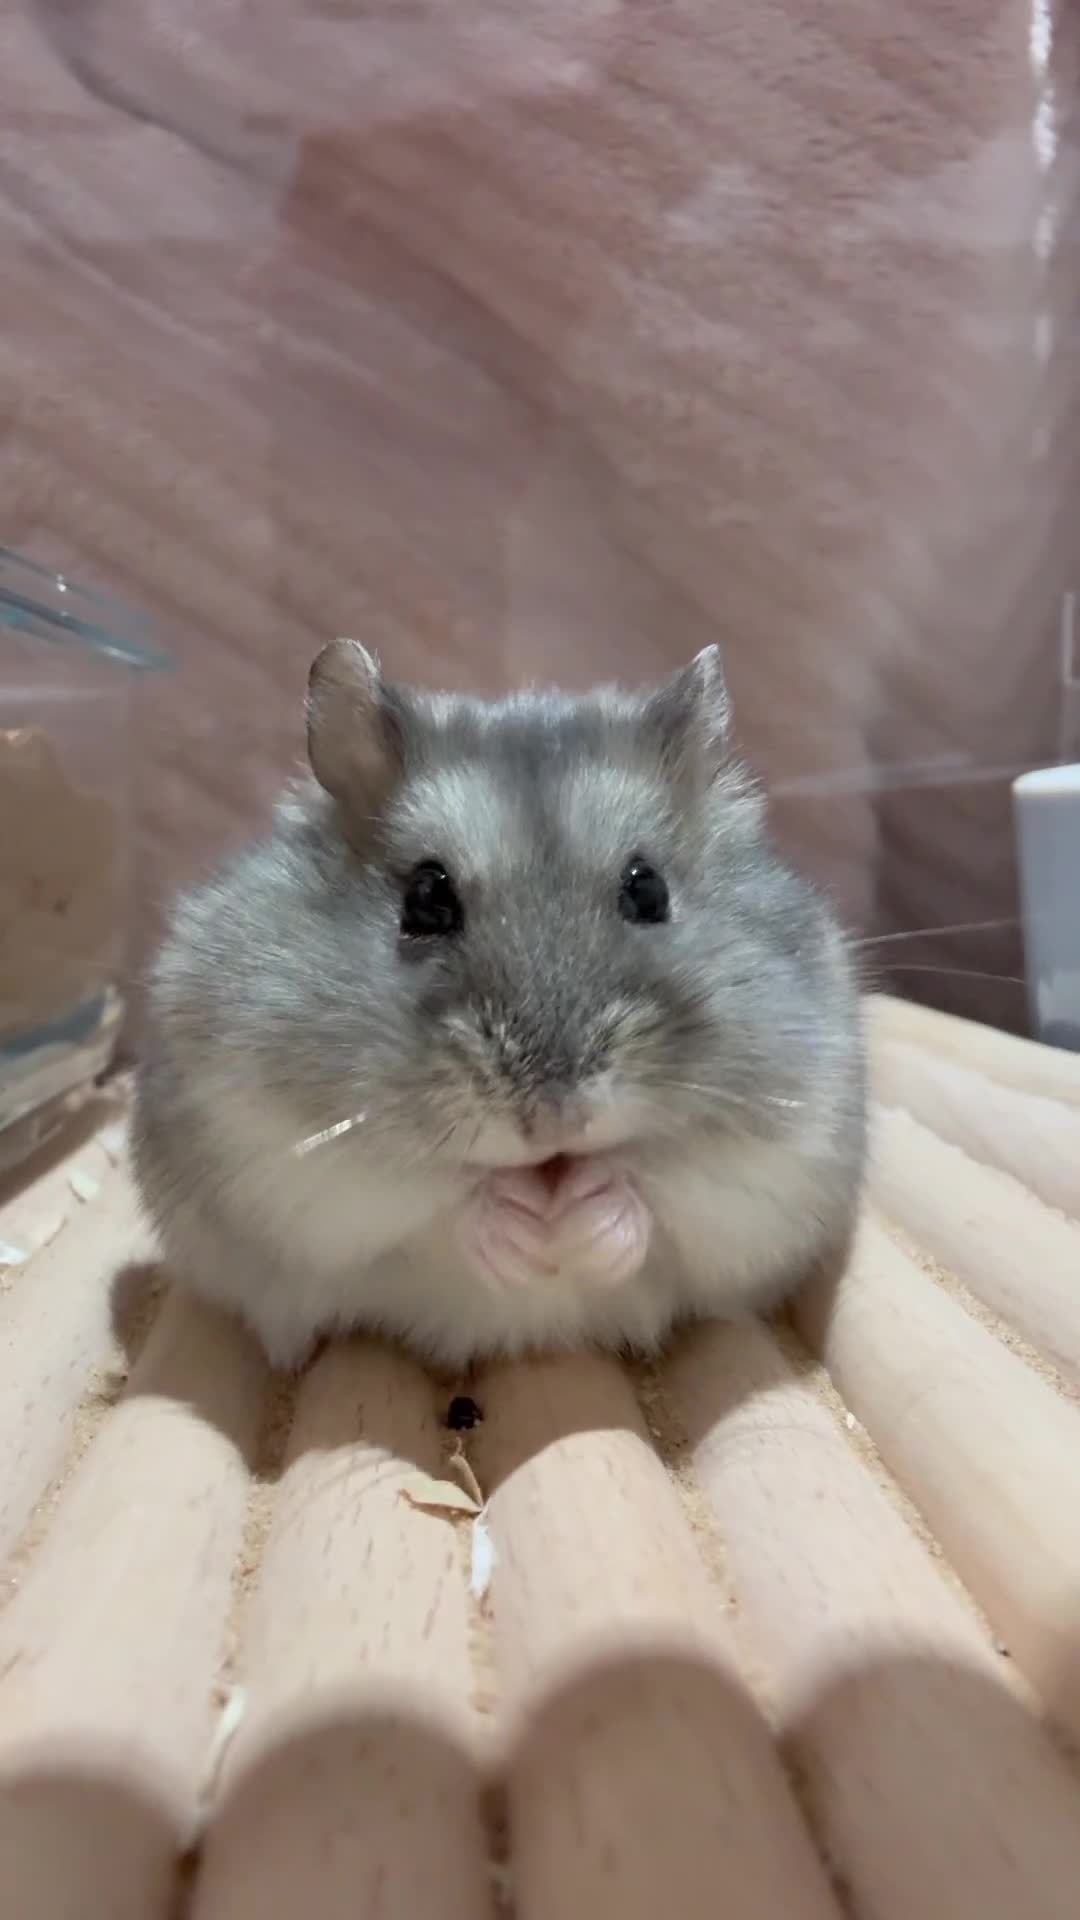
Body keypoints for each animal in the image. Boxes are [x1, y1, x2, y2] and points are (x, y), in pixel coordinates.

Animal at [132, 641, 865, 1372]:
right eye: (426, 897)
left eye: (648, 890)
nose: (554, 1122)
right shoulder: (283, 1158)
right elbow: (437, 1204)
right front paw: (518, 1222)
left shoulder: (779, 1154)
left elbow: (664, 1193)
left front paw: (589, 1210)